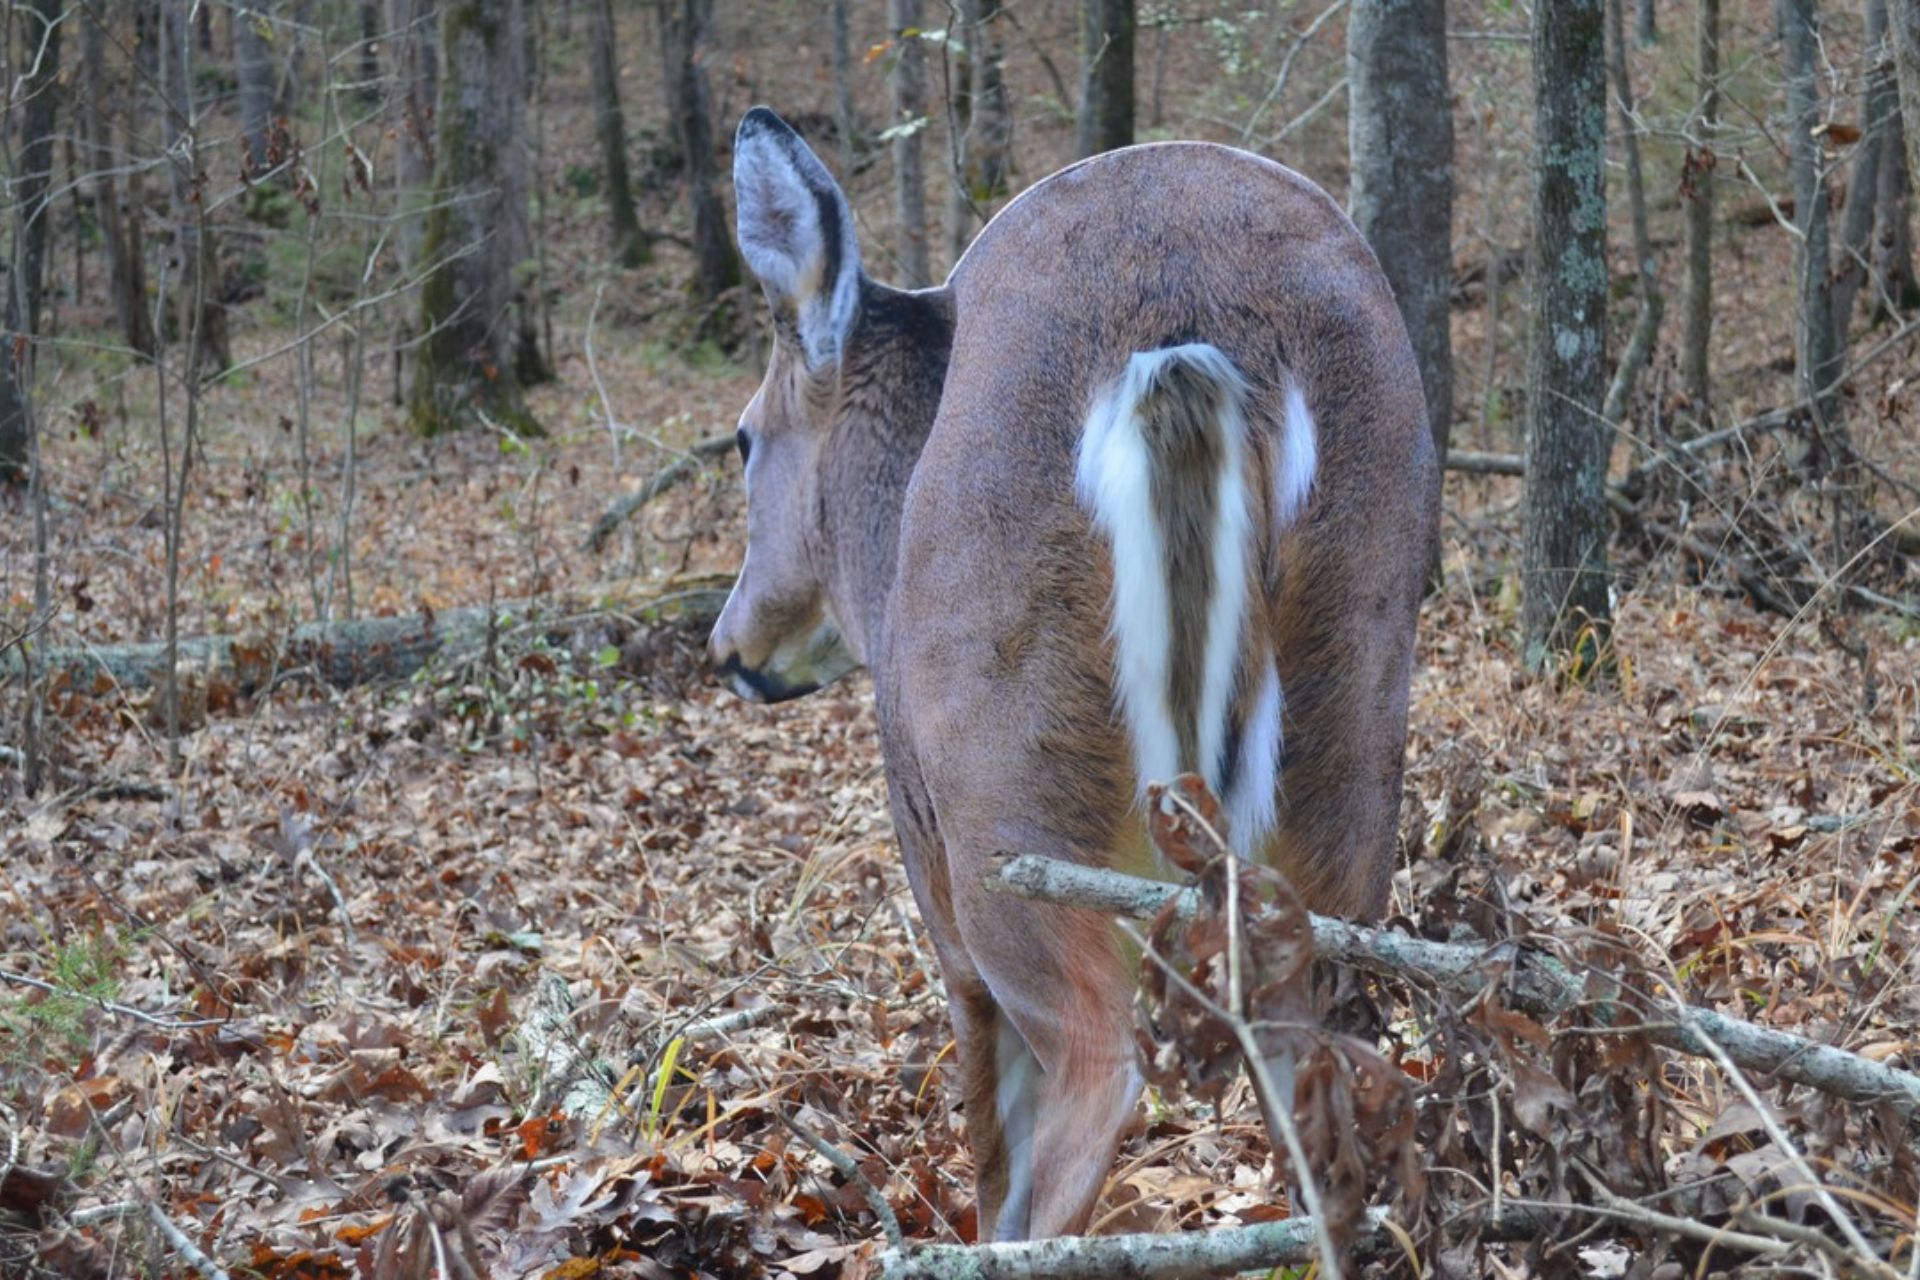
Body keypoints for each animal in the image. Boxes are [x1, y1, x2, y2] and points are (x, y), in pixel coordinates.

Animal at [714, 105, 1436, 1243]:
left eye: (743, 440)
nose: (729, 645)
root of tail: (1189, 350)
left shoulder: (937, 886)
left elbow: (988, 1143)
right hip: (1346, 779)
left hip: (1009, 808)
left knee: (1091, 1094)